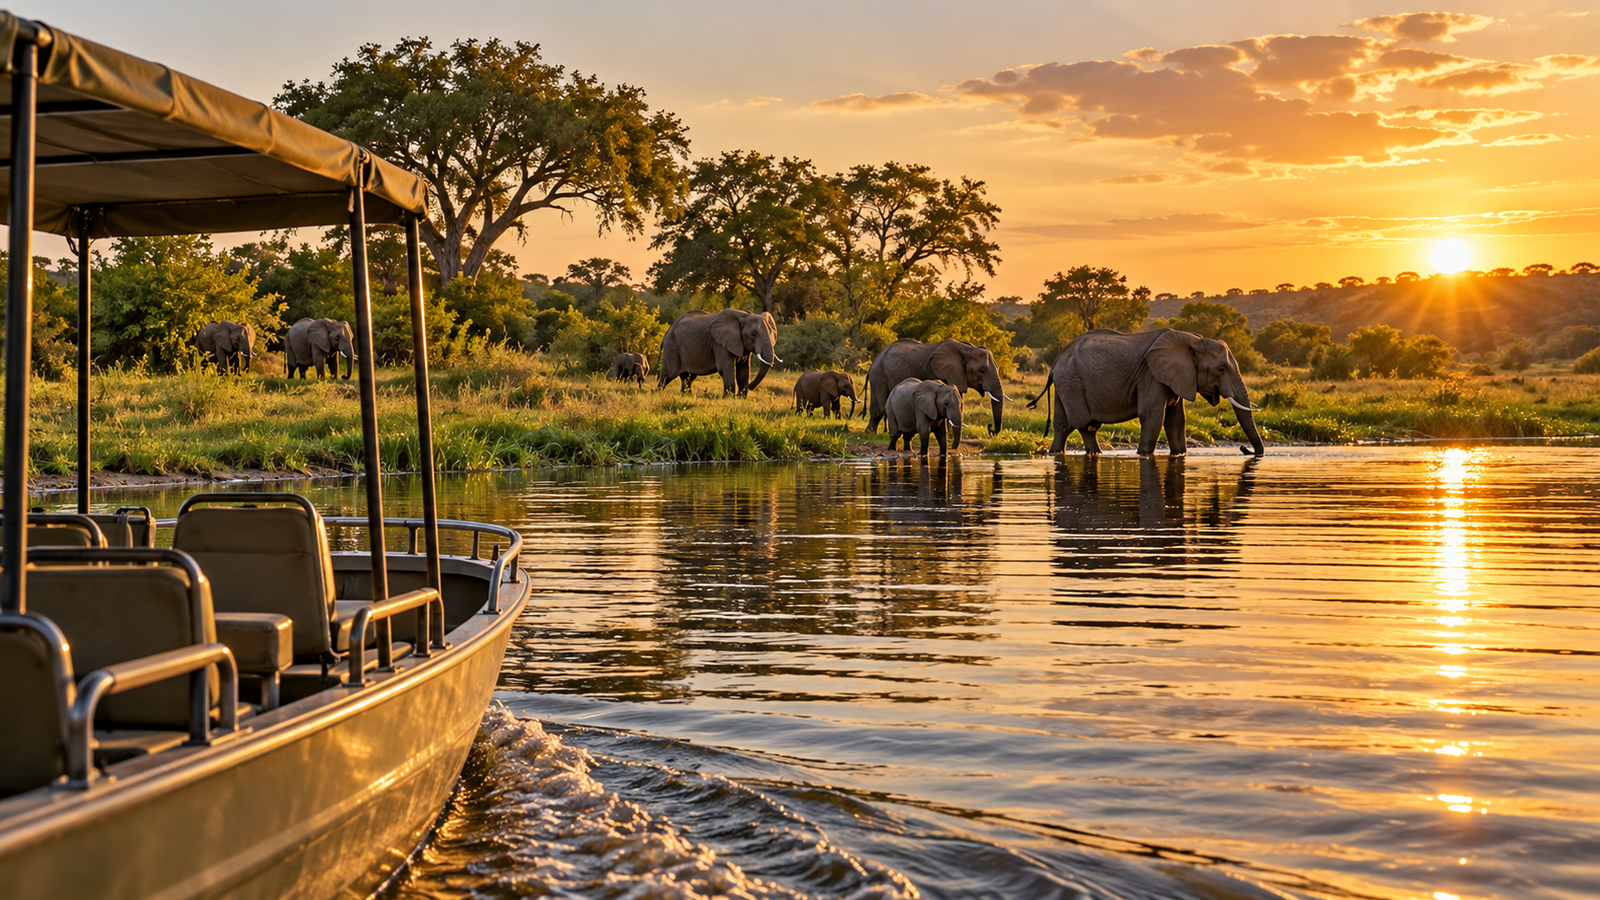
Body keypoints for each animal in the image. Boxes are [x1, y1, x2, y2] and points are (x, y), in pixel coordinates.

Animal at [866, 339, 1009, 436]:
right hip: (879, 375)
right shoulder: (937, 372)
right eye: (982, 371)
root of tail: (875, 360)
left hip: (878, 376)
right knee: (880, 406)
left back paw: (871, 432)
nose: (990, 429)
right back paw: (871, 433)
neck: (967, 349)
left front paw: (951, 436)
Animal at [1033, 327, 1265, 457]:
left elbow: (1176, 420)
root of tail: (1055, 363)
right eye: (1221, 369)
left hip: (1066, 383)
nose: (1244, 449)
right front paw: (1143, 454)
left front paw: (1179, 454)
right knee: (1084, 423)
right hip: (1073, 383)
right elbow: (1153, 415)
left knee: (1064, 425)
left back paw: (1059, 453)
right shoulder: (1151, 375)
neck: (1195, 340)